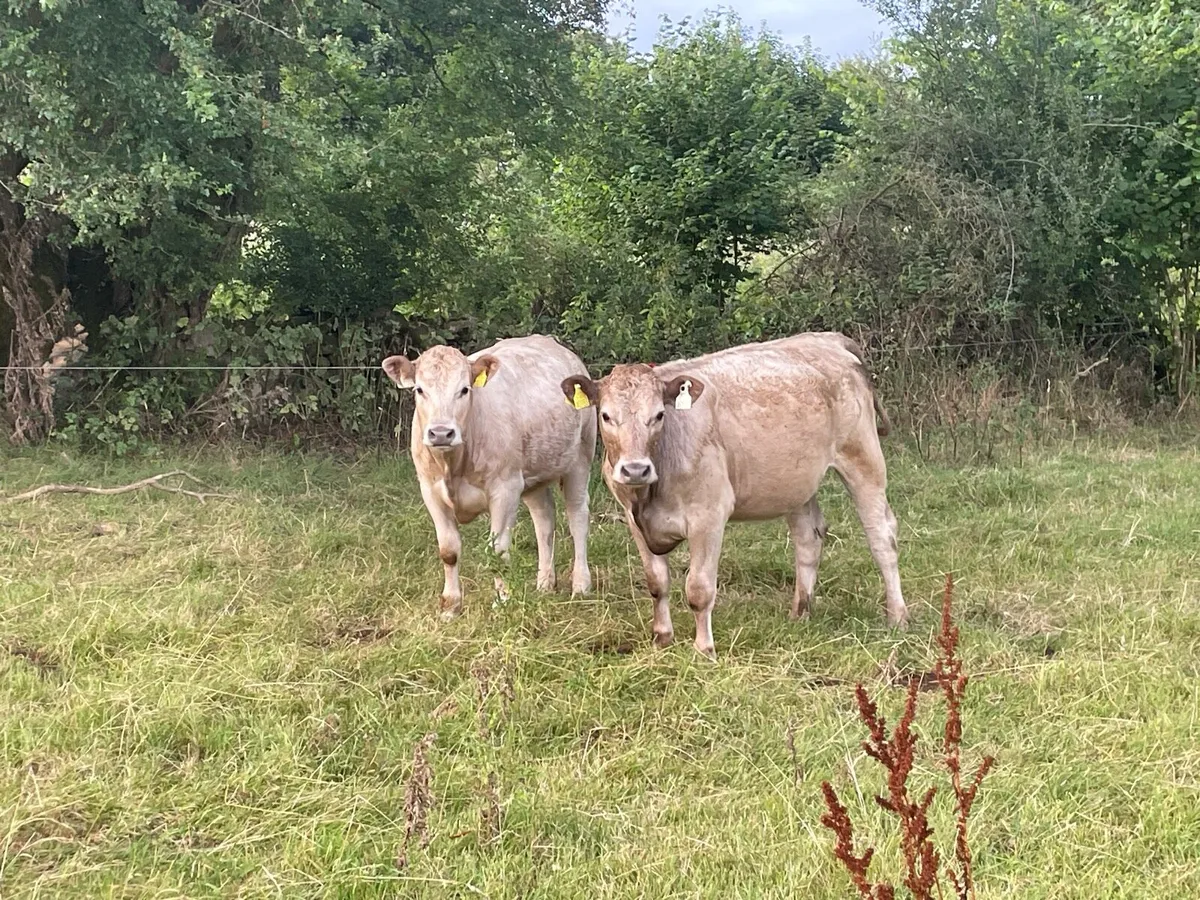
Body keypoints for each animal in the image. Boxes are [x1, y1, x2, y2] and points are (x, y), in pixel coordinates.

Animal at [382, 335, 596, 620]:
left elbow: (498, 551)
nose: (441, 433)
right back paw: (544, 583)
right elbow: (448, 551)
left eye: (464, 390)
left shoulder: (505, 489)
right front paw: (451, 606)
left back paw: (581, 585)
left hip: (581, 457)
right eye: (419, 390)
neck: (453, 465)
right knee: (544, 521)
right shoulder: (430, 490)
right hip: (533, 476)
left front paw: (502, 601)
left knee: (577, 518)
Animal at [560, 333, 906, 657]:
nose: (635, 469)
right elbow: (657, 583)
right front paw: (661, 638)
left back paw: (898, 616)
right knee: (809, 538)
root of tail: (828, 338)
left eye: (658, 415)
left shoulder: (709, 516)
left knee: (882, 538)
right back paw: (800, 613)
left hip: (863, 458)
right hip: (795, 479)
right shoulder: (635, 521)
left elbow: (699, 589)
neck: (650, 491)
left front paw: (704, 649)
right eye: (606, 416)